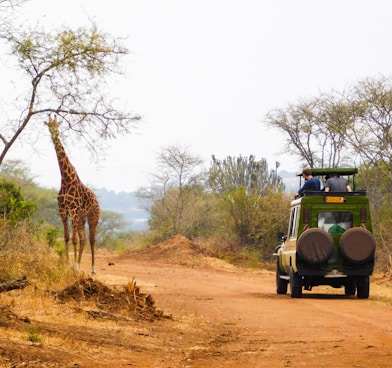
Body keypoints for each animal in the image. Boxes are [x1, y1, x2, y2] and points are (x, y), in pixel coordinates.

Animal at [45, 115, 99, 274]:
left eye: (57, 125)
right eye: (49, 125)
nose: (54, 133)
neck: (66, 179)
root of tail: (97, 200)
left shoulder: (73, 210)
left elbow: (74, 239)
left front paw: (73, 266)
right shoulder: (63, 210)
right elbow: (67, 237)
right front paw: (67, 264)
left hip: (93, 217)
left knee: (92, 239)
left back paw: (93, 269)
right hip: (81, 219)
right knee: (83, 239)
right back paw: (79, 265)